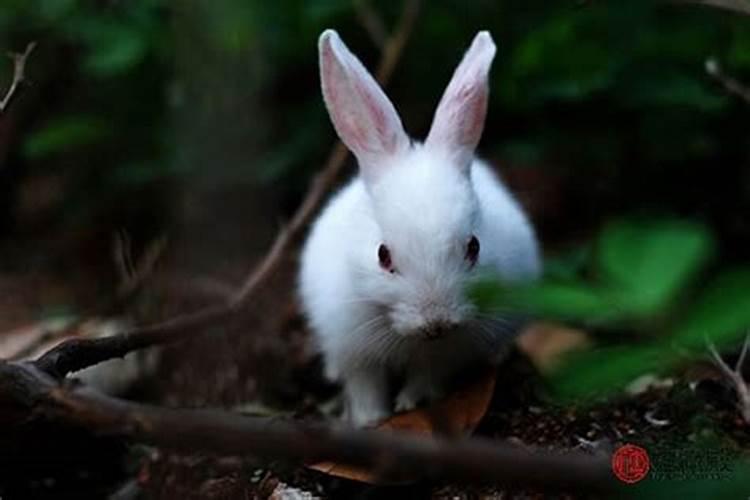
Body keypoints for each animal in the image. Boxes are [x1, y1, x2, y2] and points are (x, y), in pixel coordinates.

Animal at [298, 29, 540, 426]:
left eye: (474, 247)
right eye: (382, 256)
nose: (435, 323)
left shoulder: (444, 354)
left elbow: (427, 376)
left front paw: (411, 404)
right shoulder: (352, 347)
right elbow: (364, 385)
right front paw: (370, 419)